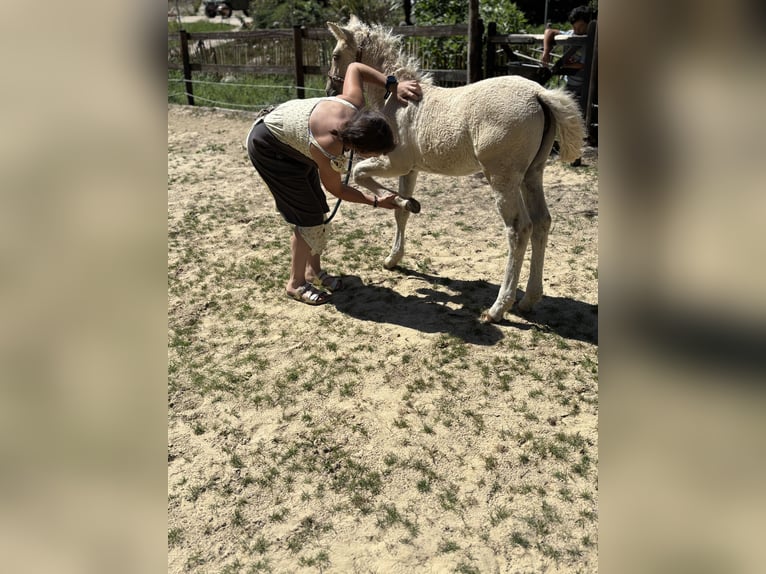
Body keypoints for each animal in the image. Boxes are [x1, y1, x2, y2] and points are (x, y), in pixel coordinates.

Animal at [326, 16, 585, 323]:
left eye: (335, 55)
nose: (330, 91)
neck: (398, 100)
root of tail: (539, 93)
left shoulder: (394, 162)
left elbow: (358, 173)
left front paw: (395, 203)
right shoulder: (410, 170)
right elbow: (401, 213)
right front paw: (394, 253)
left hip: (503, 178)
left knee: (519, 228)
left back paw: (498, 308)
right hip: (532, 174)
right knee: (542, 222)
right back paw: (528, 300)